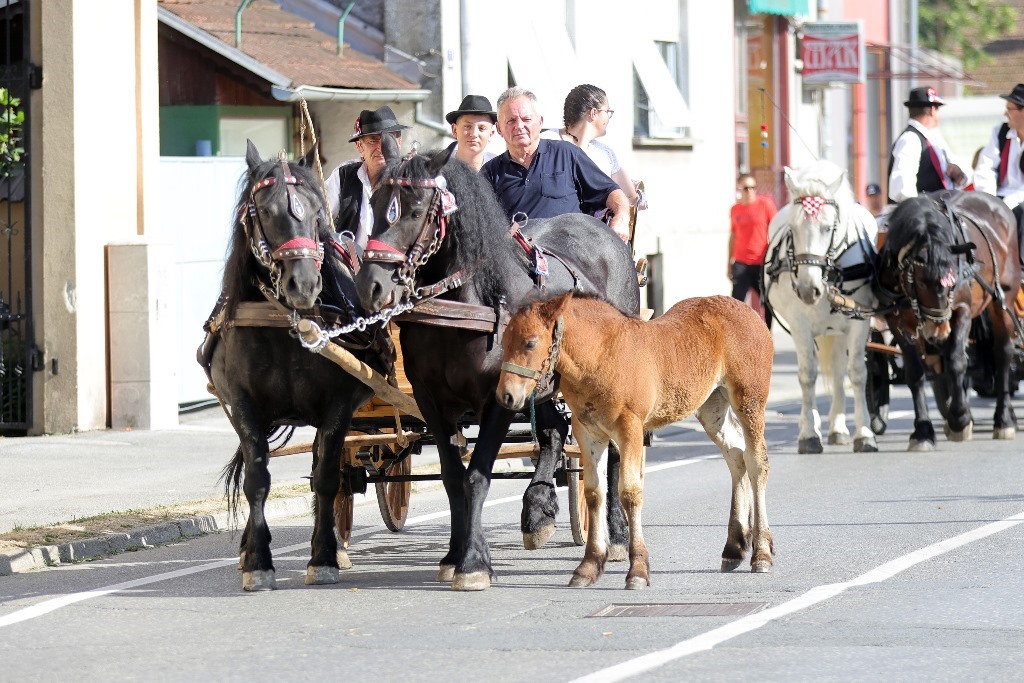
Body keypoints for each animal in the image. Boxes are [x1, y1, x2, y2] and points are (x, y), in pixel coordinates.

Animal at [202, 141, 387, 589]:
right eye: (265, 211)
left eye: (317, 211)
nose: (303, 284)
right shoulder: (244, 404)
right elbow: (257, 479)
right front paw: (257, 561)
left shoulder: (338, 406)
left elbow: (326, 479)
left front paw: (322, 558)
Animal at [354, 141, 638, 589]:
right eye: (376, 202)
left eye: (415, 210)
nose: (370, 285)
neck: (467, 307)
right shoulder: (432, 401)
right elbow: (453, 476)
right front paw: (456, 554)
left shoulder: (497, 399)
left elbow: (477, 475)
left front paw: (473, 563)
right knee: (553, 433)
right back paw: (537, 508)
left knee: (610, 453)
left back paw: (618, 534)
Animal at [497, 292, 774, 589]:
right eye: (502, 341)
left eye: (530, 342)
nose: (506, 396)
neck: (600, 355)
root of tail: (749, 311)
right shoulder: (587, 431)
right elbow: (594, 492)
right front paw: (589, 566)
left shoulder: (630, 427)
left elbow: (630, 491)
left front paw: (638, 570)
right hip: (712, 406)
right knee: (736, 455)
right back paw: (734, 548)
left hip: (749, 399)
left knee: (757, 462)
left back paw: (761, 553)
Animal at [770, 161, 880, 454]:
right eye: (792, 228)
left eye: (828, 227)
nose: (809, 290)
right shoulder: (800, 325)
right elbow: (808, 375)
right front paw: (809, 433)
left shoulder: (859, 321)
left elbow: (857, 374)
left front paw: (865, 433)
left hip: (841, 329)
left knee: (842, 371)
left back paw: (840, 428)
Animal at [876, 189, 1019, 450]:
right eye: (921, 282)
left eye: (953, 283)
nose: (938, 331)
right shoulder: (896, 319)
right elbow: (915, 372)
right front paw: (923, 431)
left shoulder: (962, 310)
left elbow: (956, 361)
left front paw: (960, 420)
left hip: (1004, 299)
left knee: (1003, 354)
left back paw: (1003, 419)